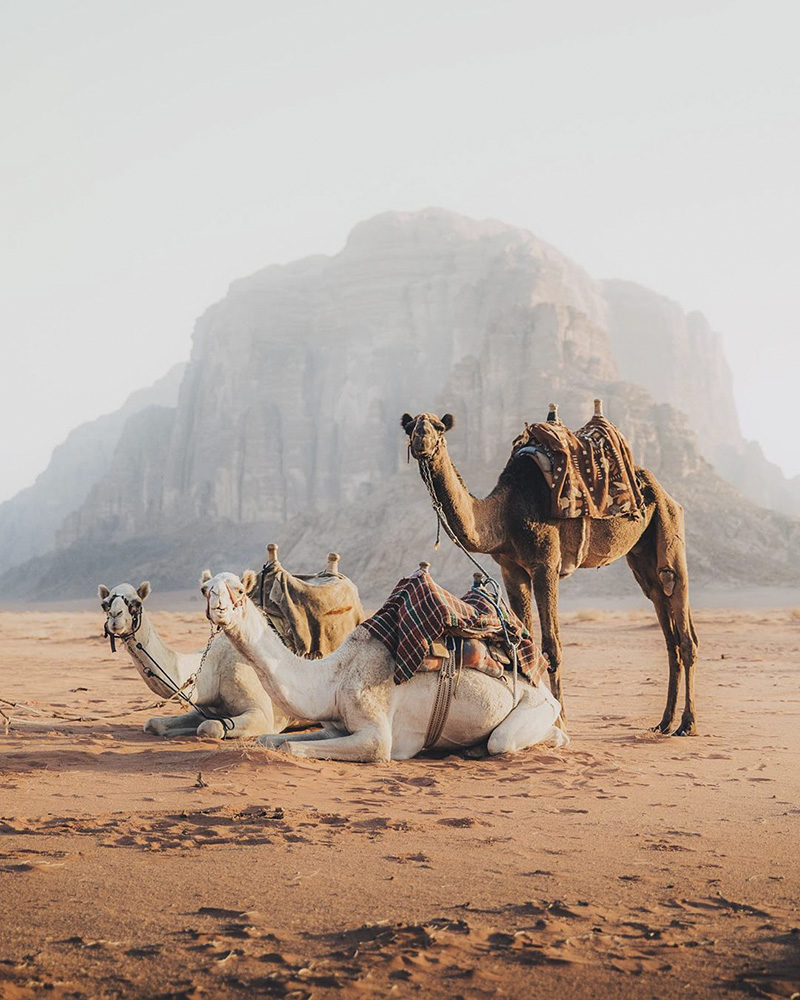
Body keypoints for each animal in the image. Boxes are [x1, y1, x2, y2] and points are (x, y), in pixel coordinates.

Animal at [97, 584, 290, 740]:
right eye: (105, 604)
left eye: (136, 603)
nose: (115, 616)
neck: (215, 669)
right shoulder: (205, 709)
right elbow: (153, 723)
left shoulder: (263, 716)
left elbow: (209, 727)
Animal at [197, 572, 564, 756]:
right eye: (205, 589)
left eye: (239, 590)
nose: (219, 609)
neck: (332, 678)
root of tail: (546, 692)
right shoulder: (334, 726)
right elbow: (269, 740)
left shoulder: (376, 733)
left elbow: (291, 747)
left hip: (535, 706)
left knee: (504, 741)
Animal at [404, 410, 696, 740]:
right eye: (410, 427)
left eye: (439, 427)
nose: (421, 440)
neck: (505, 512)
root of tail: (661, 489)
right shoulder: (511, 569)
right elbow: (522, 644)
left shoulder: (546, 564)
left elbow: (552, 649)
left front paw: (561, 722)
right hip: (641, 554)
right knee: (664, 617)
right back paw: (664, 722)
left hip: (669, 528)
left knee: (681, 615)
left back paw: (687, 724)